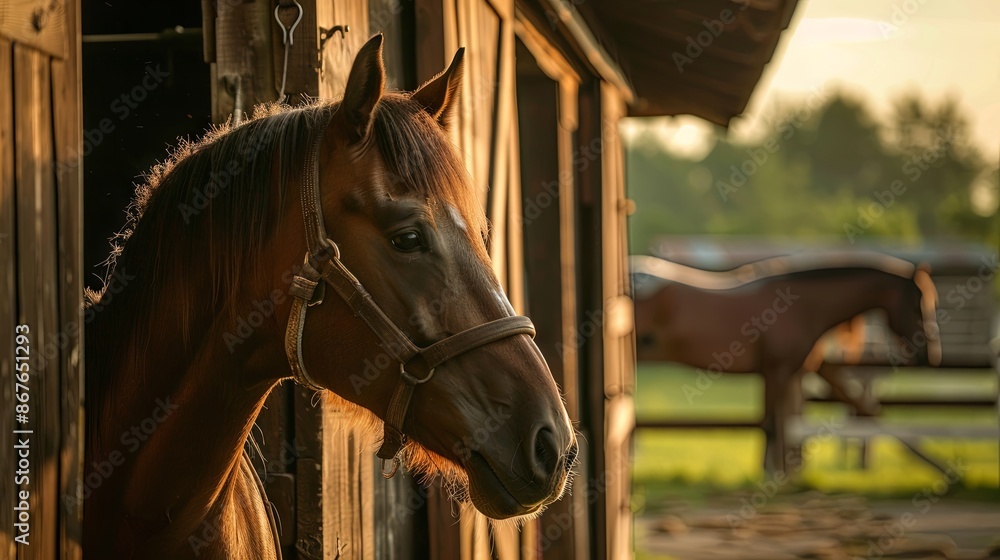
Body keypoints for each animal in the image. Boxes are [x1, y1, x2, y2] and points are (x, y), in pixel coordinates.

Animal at [631, 253, 941, 472]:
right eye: (917, 305)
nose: (930, 355)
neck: (800, 307)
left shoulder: (788, 374)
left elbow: (783, 423)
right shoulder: (776, 372)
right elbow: (772, 425)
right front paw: (773, 473)